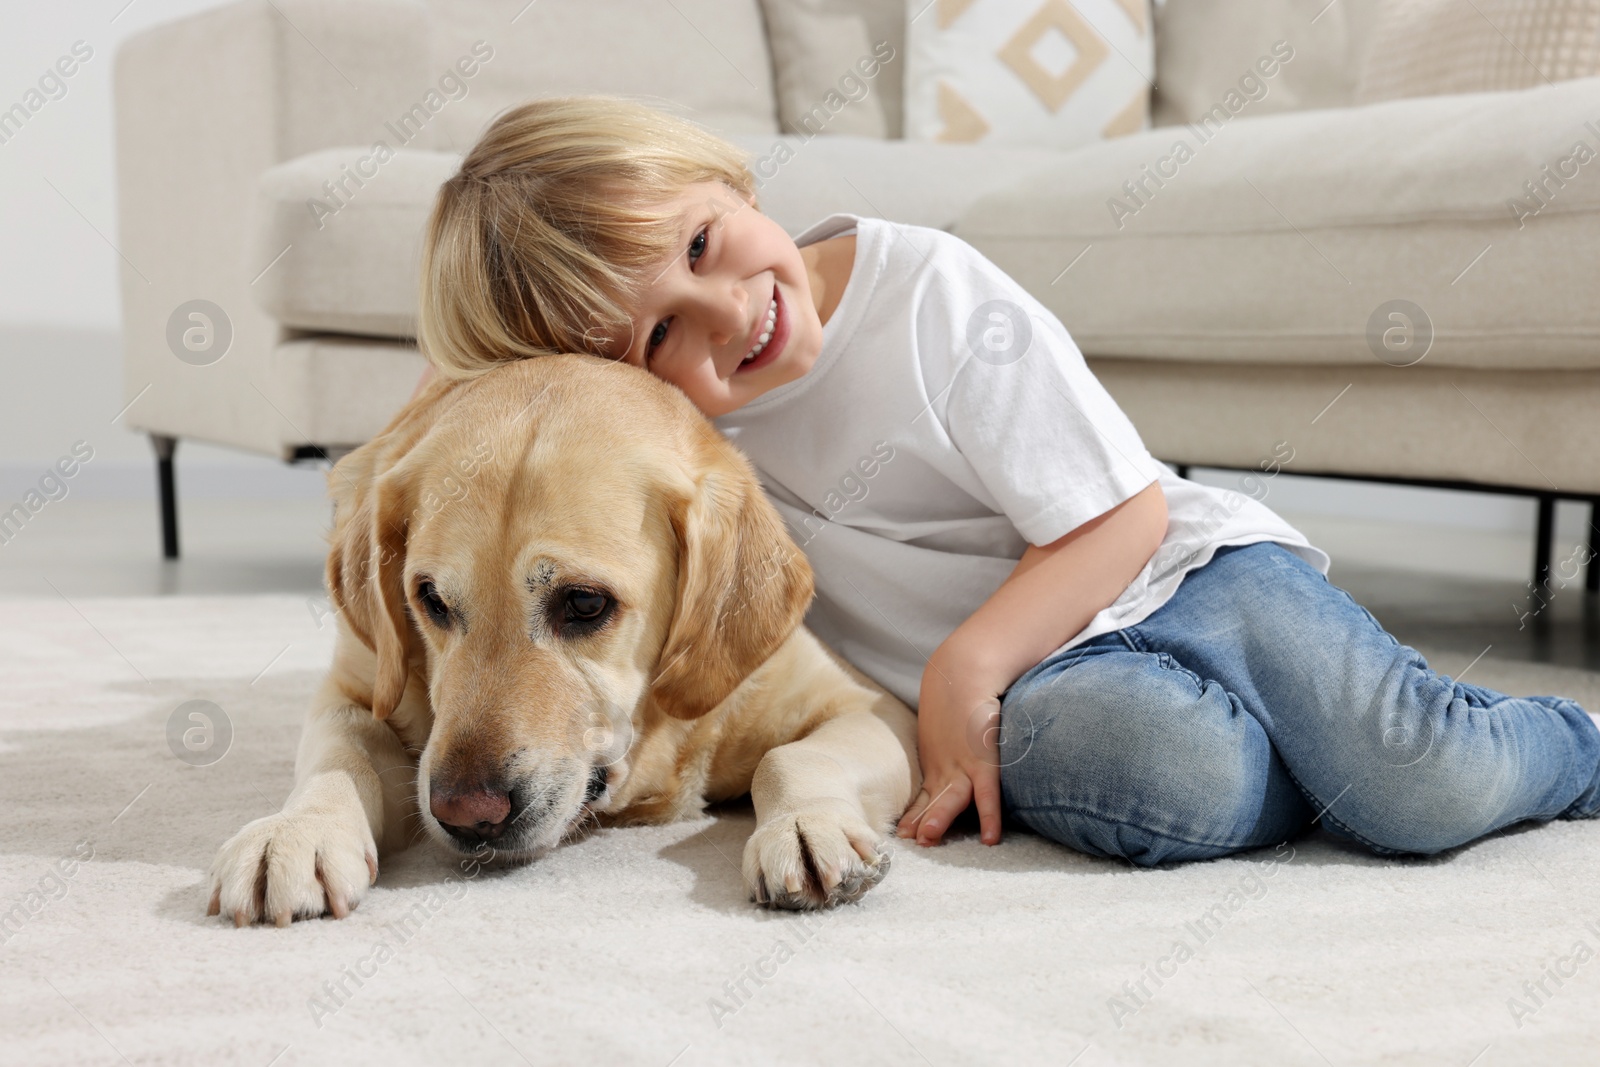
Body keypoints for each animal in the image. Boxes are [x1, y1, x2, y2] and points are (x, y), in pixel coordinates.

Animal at [206, 355, 921, 921]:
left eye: (583, 603)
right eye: (430, 599)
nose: (466, 813)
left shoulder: (870, 707)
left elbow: (791, 757)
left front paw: (806, 825)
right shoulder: (355, 685)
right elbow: (339, 751)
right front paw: (296, 831)